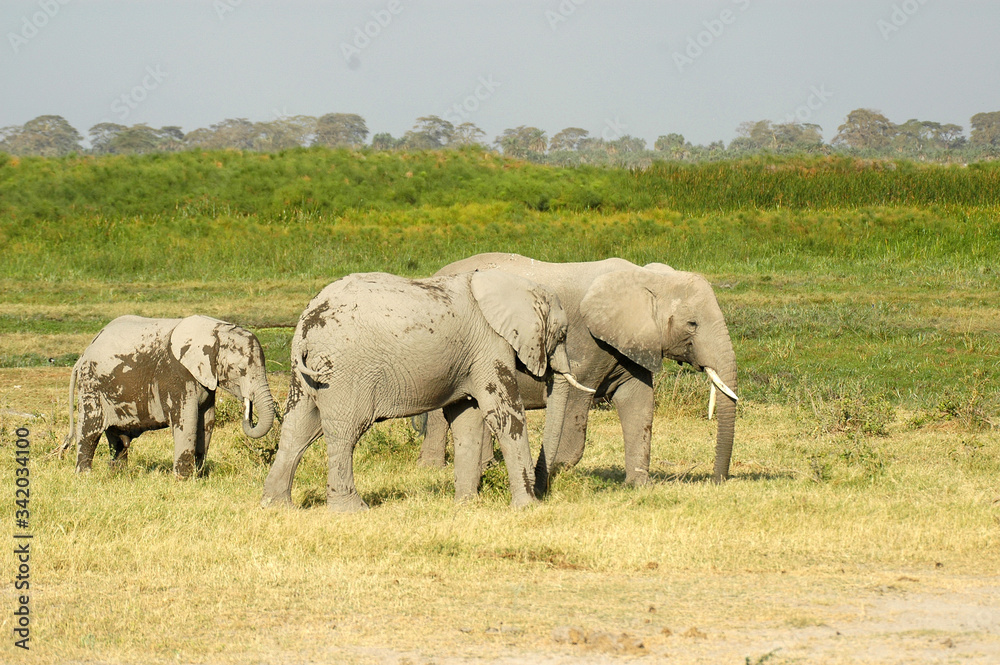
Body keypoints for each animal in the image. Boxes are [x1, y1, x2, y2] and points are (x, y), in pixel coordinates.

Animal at [63, 316, 276, 478]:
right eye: (241, 369)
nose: (249, 413)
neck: (215, 330)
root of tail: (83, 354)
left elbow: (207, 421)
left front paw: (198, 478)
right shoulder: (176, 375)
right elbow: (187, 420)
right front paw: (183, 480)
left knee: (118, 440)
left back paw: (119, 475)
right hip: (91, 384)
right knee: (90, 430)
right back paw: (84, 477)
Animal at [260, 268, 592, 510]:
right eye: (562, 334)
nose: (543, 489)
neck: (512, 284)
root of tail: (305, 327)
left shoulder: (469, 357)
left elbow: (467, 421)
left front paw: (466, 505)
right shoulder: (489, 346)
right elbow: (504, 416)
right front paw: (527, 508)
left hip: (305, 372)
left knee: (299, 427)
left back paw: (277, 506)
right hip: (345, 369)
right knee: (345, 431)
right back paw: (352, 510)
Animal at [418, 254, 740, 492]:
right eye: (692, 324)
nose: (717, 481)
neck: (646, 277)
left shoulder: (633, 342)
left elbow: (639, 404)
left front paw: (638, 486)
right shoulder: (587, 342)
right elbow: (576, 403)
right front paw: (556, 473)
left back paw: (487, 466)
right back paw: (432, 467)